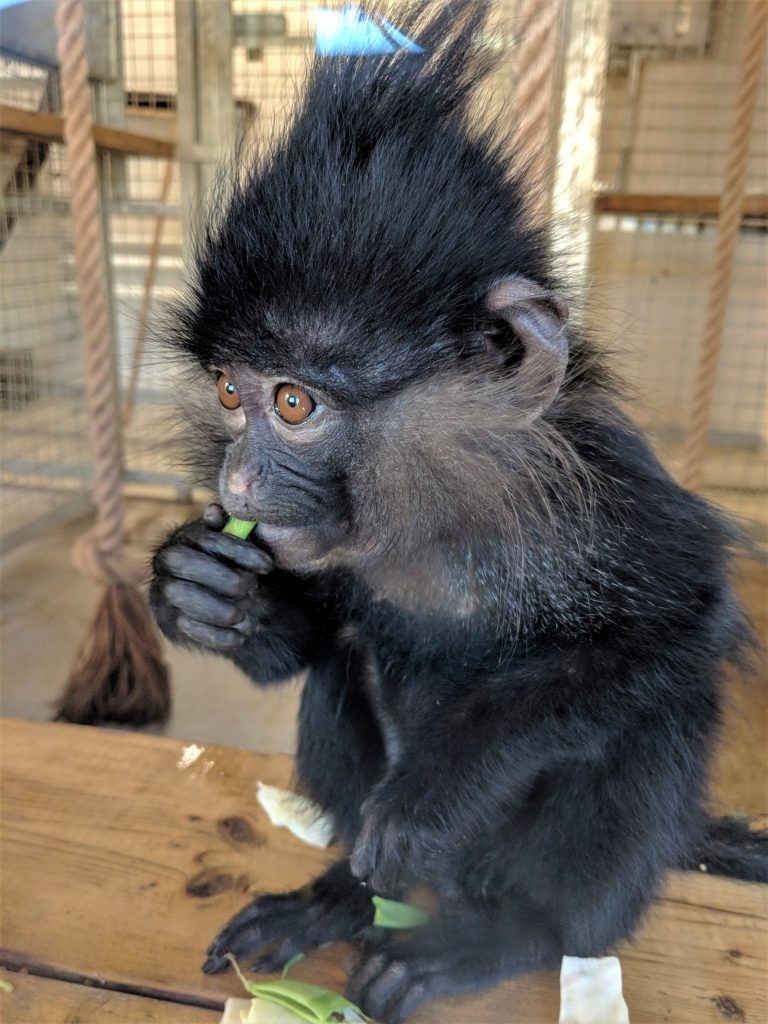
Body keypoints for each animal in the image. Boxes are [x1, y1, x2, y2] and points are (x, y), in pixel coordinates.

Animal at [148, 4, 765, 1019]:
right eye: (232, 393)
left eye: (293, 403)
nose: (235, 485)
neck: (432, 524)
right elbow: (310, 648)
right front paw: (200, 589)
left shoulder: (601, 499)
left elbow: (673, 630)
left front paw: (434, 795)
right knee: (342, 671)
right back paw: (342, 899)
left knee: (657, 720)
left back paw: (501, 937)